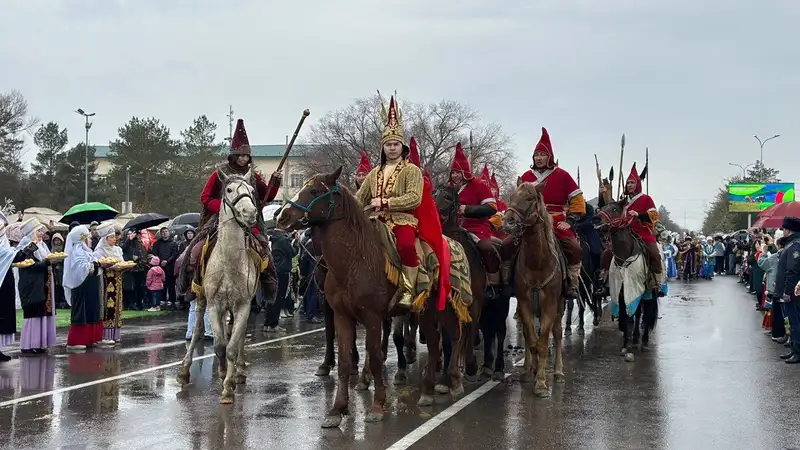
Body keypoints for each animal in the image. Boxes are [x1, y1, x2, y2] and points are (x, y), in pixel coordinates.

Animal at [177, 170, 260, 404]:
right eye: (229, 190)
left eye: (252, 190)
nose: (250, 212)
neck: (229, 263)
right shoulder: (214, 304)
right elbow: (219, 345)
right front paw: (224, 376)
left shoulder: (243, 305)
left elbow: (231, 346)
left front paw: (228, 387)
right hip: (203, 299)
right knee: (197, 331)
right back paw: (185, 371)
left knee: (237, 335)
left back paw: (238, 371)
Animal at [278, 167, 468, 428]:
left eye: (315, 190)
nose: (282, 217)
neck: (354, 262)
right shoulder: (342, 316)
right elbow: (344, 360)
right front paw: (336, 410)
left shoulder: (373, 317)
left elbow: (376, 356)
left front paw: (377, 405)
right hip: (426, 311)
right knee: (435, 341)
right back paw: (429, 391)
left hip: (440, 307)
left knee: (452, 337)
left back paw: (452, 382)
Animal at [434, 185, 510, 382]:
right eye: (432, 193)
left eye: (447, 197)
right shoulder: (449, 303)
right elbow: (451, 335)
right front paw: (448, 375)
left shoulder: (475, 301)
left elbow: (469, 328)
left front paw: (469, 366)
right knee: (489, 332)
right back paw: (487, 366)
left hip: (500, 303)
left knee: (500, 331)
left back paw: (498, 368)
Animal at [504, 180, 564, 398]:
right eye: (512, 196)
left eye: (530, 198)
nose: (508, 221)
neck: (538, 263)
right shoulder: (524, 303)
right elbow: (531, 342)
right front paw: (534, 373)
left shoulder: (550, 305)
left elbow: (544, 343)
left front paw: (541, 383)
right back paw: (528, 368)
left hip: (561, 306)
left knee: (558, 333)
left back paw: (558, 372)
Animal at [592, 200, 656, 362]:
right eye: (602, 207)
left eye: (615, 209)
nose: (595, 219)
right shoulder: (620, 290)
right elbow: (625, 315)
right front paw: (626, 344)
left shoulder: (634, 288)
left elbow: (631, 316)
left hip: (649, 292)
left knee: (645, 314)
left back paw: (643, 340)